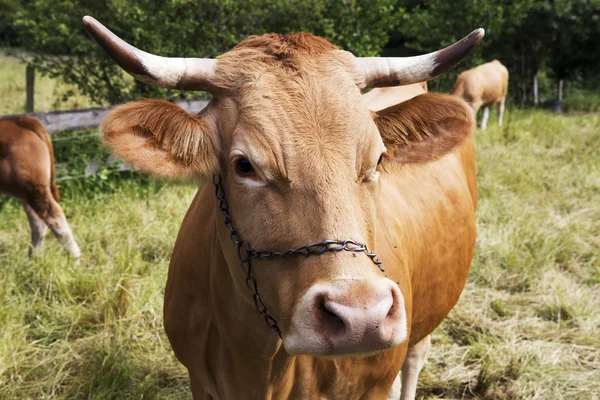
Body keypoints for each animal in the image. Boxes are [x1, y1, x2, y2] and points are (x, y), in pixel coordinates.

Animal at [0, 115, 81, 260]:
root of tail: (16, 120)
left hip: (34, 188)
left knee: (53, 217)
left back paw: (75, 259)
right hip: (27, 191)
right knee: (38, 223)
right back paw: (32, 260)